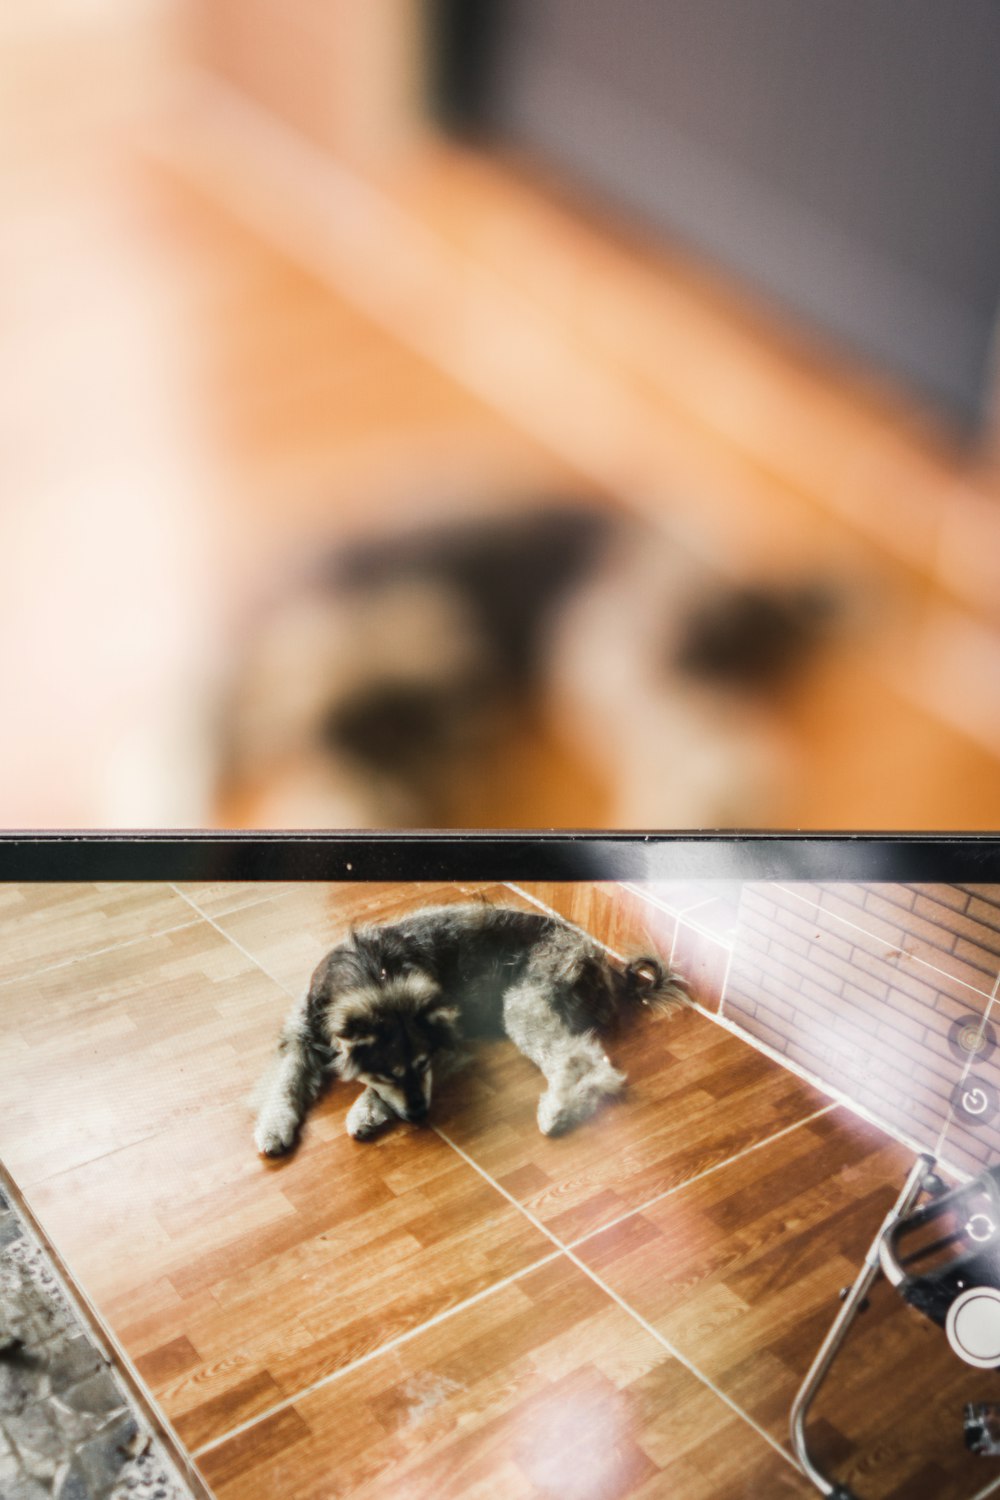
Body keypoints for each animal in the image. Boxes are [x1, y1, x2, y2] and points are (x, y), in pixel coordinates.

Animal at [254, 894, 683, 1152]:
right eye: (389, 1073)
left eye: (422, 1064)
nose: (420, 1115)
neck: (374, 976)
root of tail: (605, 965)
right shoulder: (300, 1031)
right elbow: (285, 1080)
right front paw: (273, 1126)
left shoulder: (449, 1041)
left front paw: (366, 1110)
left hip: (523, 1004)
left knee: (583, 1062)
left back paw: (557, 1113)